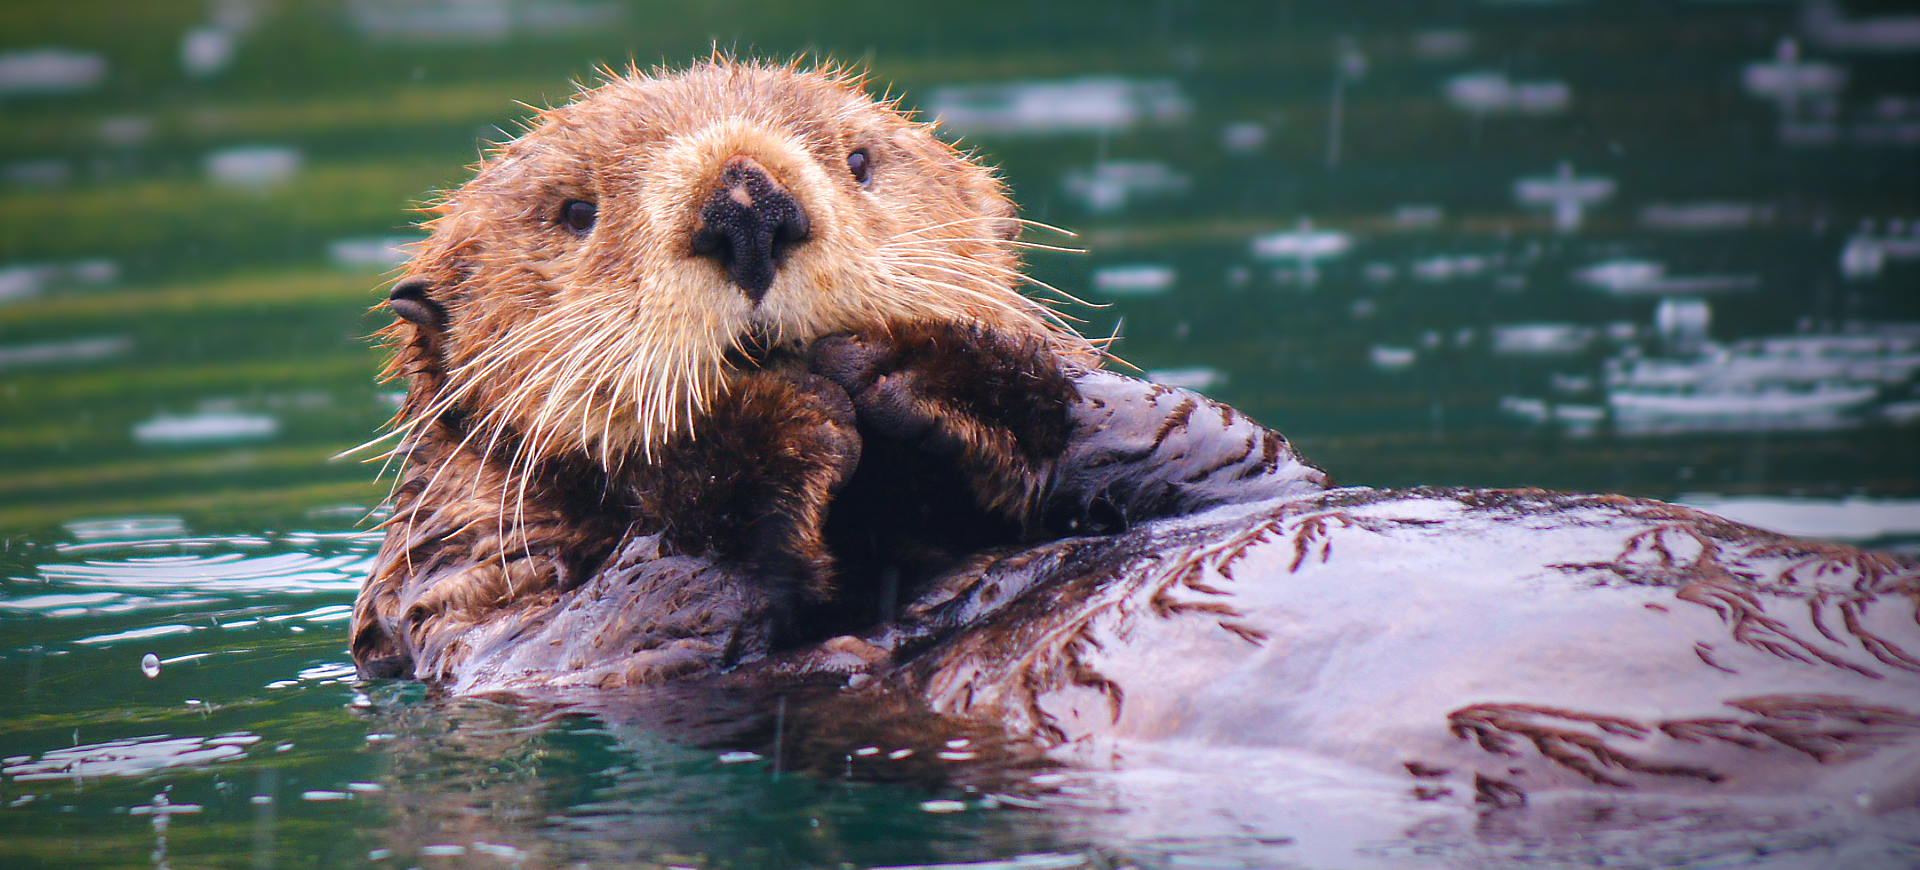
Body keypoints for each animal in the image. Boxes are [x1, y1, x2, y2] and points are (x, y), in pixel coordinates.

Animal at [349, 55, 1920, 821]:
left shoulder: (1222, 468)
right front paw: (773, 414)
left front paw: (928, 364)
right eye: (573, 212)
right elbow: (616, 633)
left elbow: (1207, 446)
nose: (749, 203)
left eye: (859, 158)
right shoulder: (488, 630)